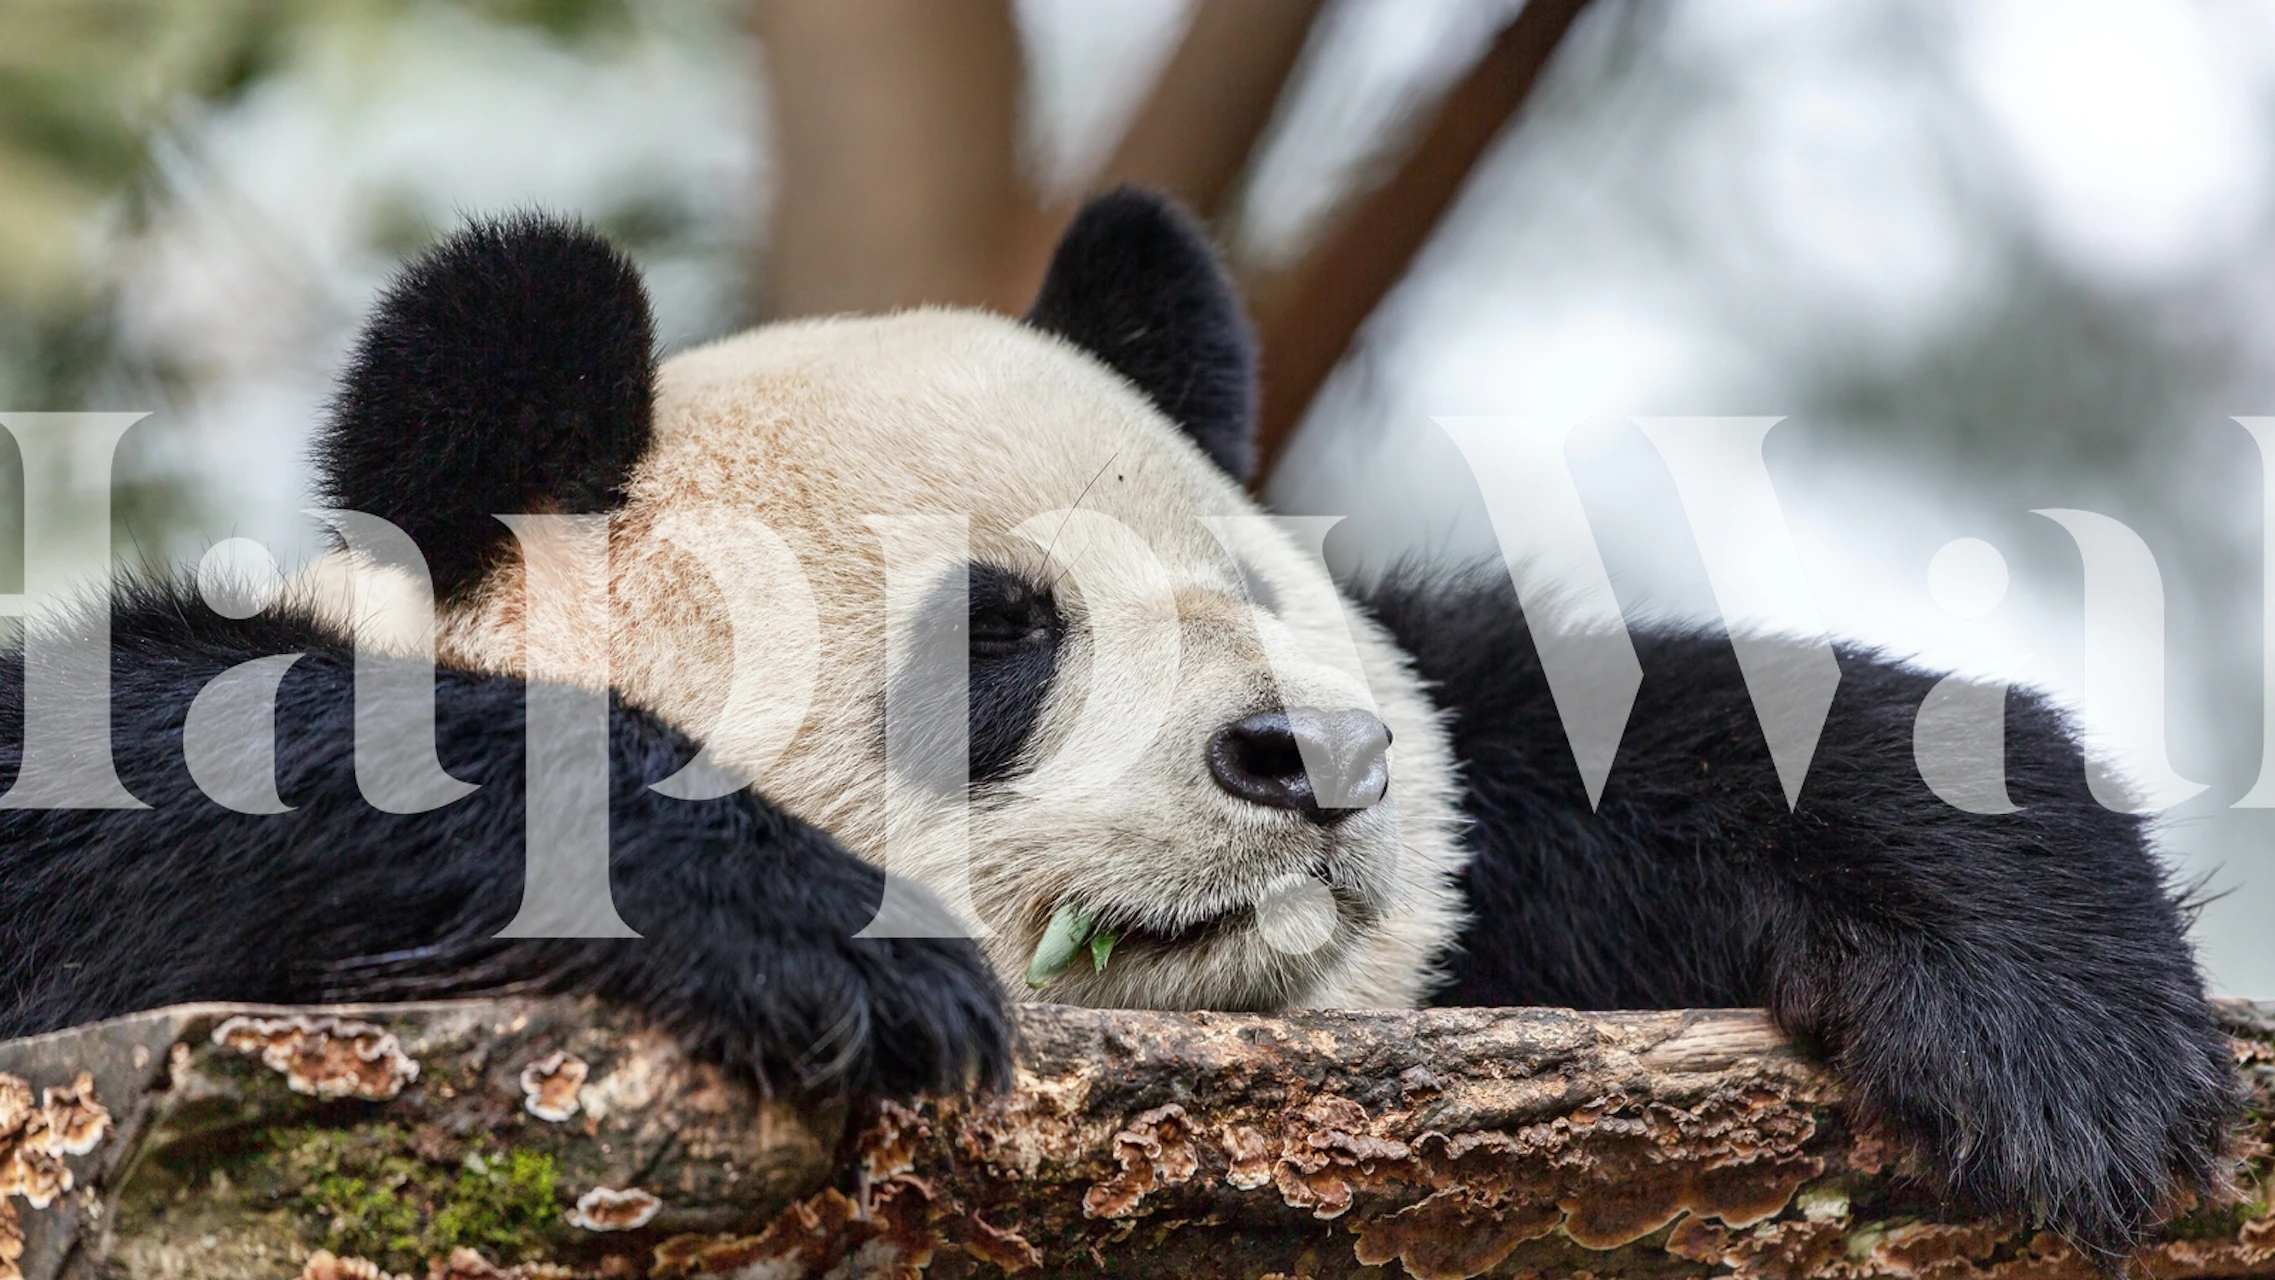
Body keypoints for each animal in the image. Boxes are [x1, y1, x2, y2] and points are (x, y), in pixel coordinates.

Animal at [0, 188, 2238, 1255]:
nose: (1314, 767)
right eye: (1000, 634)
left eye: (1250, 593)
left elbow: (1607, 732)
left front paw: (2057, 1035)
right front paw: (806, 930)